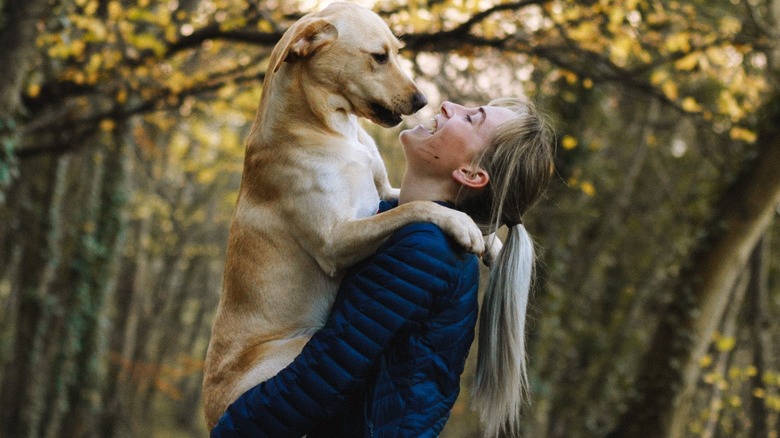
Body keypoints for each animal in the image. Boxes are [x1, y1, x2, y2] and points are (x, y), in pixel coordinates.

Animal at [203, 0, 482, 428]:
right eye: (379, 57)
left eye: (397, 51)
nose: (422, 101)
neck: (330, 128)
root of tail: (211, 414)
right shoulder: (333, 241)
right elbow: (419, 206)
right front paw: (460, 222)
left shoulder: (385, 192)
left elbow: (409, 201)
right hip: (301, 343)